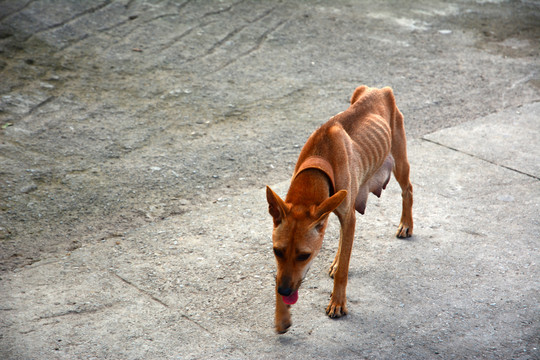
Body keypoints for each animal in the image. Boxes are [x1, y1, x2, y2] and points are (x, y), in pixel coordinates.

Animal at [266, 86, 414, 334]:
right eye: (277, 251)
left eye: (304, 255)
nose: (285, 292)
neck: (319, 162)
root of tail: (380, 90)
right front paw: (281, 315)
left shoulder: (348, 217)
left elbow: (345, 266)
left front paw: (337, 302)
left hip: (400, 160)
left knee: (408, 191)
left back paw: (406, 224)